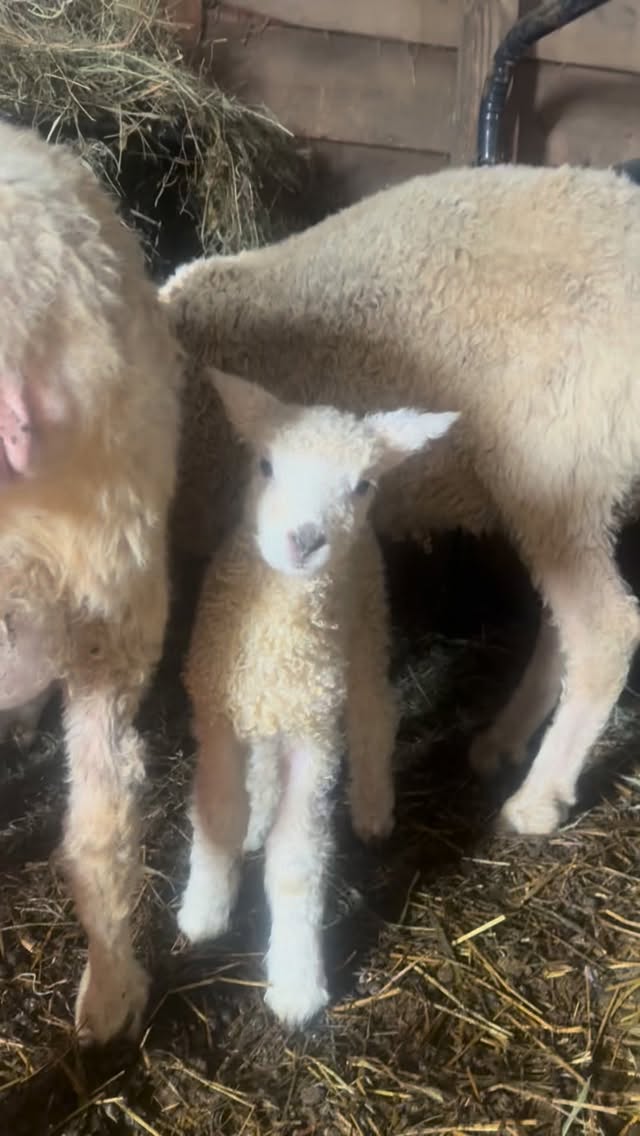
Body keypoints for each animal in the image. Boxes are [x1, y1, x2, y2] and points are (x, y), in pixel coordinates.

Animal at [178, 369, 457, 1026]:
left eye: (362, 485)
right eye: (266, 465)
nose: (305, 540)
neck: (279, 635)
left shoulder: (315, 737)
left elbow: (297, 864)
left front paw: (297, 984)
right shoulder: (219, 718)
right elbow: (219, 814)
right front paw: (205, 912)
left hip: (365, 630)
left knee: (377, 715)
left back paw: (374, 811)